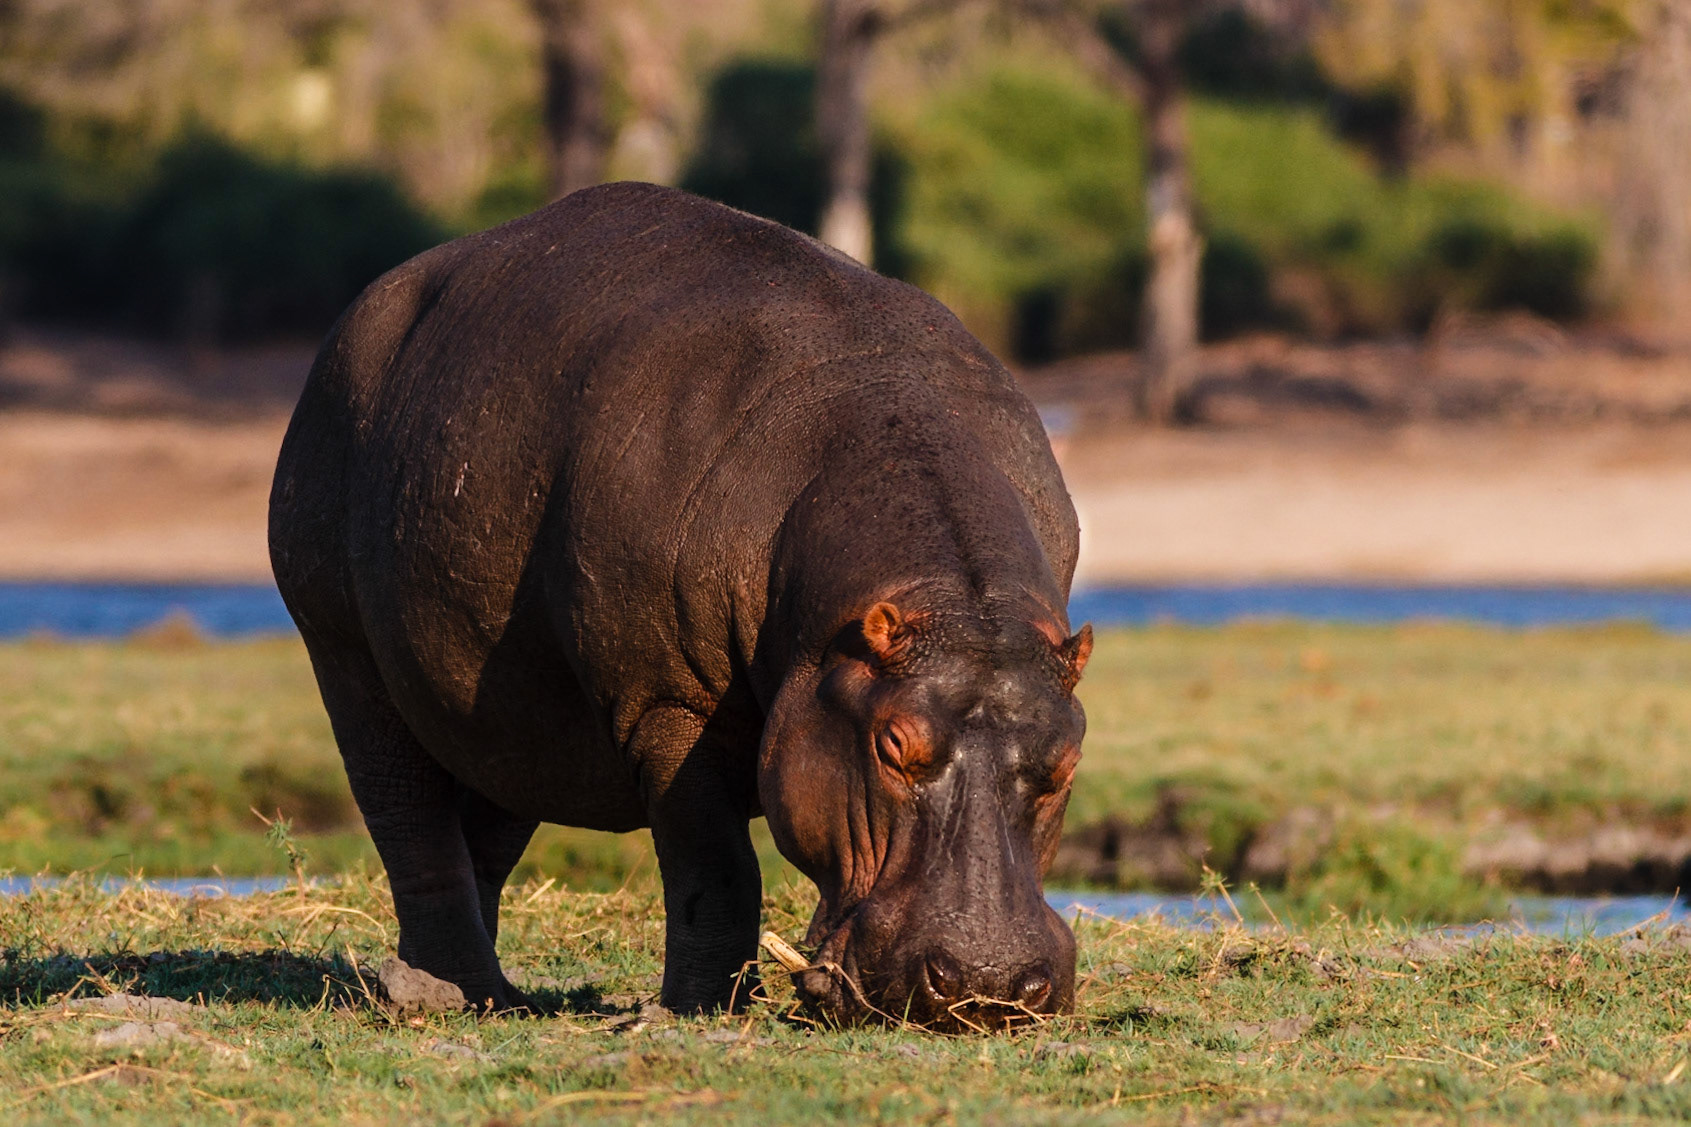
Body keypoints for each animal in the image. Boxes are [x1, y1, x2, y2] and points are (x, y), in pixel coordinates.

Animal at [268, 182, 1091, 1028]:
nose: (987, 983)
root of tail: (363, 306)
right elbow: (714, 862)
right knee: (409, 820)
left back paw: (483, 995)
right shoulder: (668, 704)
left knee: (484, 832)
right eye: (893, 745)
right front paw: (703, 1008)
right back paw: (438, 992)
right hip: (344, 655)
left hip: (506, 709)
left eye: (1067, 760)